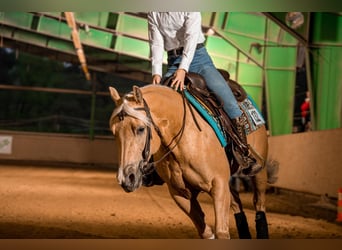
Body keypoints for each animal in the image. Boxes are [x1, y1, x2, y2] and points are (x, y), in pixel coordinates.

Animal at [108, 83, 274, 238]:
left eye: (141, 129)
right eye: (114, 132)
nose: (126, 178)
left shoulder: (219, 185)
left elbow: (221, 232)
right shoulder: (180, 193)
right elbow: (206, 232)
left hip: (259, 172)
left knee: (259, 202)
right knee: (237, 203)